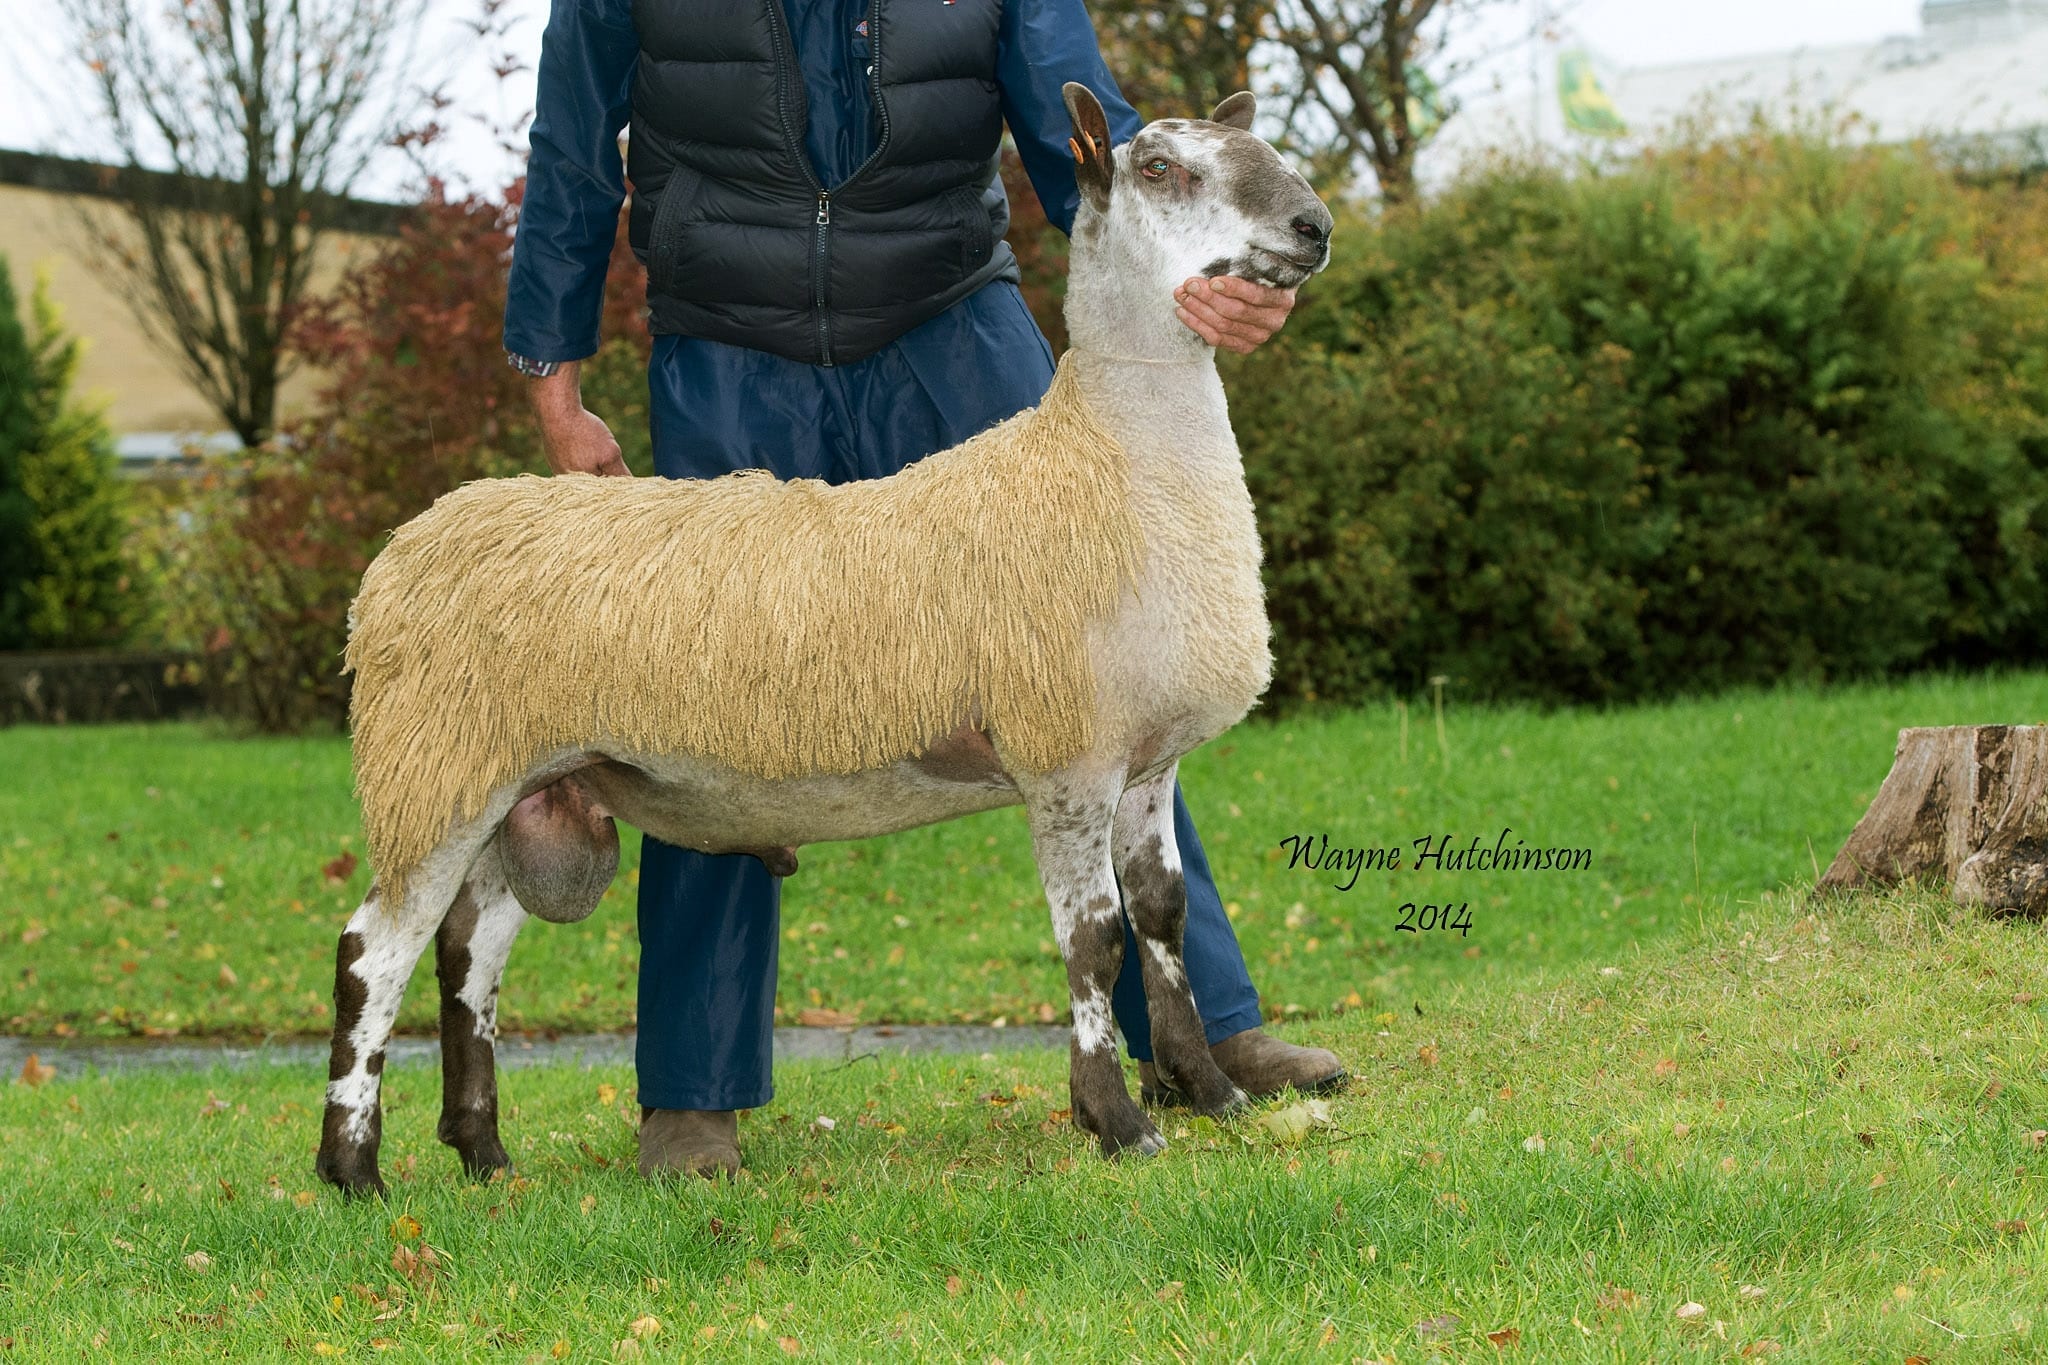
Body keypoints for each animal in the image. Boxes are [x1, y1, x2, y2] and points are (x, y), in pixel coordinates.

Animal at [303, 85, 1327, 1195]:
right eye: (1160, 170)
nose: (1313, 226)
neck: (1108, 460)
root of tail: (402, 549)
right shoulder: (1065, 756)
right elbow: (1095, 944)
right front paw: (1117, 1122)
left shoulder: (1147, 762)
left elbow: (1163, 919)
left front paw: (1211, 1095)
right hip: (434, 770)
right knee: (372, 954)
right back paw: (353, 1170)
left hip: (522, 787)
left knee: (466, 957)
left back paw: (485, 1154)